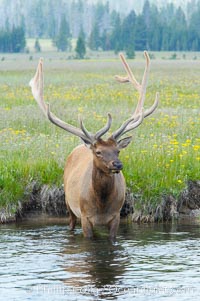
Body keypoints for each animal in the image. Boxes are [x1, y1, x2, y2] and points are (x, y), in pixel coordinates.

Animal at [29, 51, 158, 239]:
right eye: (98, 152)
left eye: (118, 151)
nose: (117, 164)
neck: (101, 205)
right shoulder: (85, 216)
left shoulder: (116, 216)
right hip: (68, 203)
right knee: (70, 224)